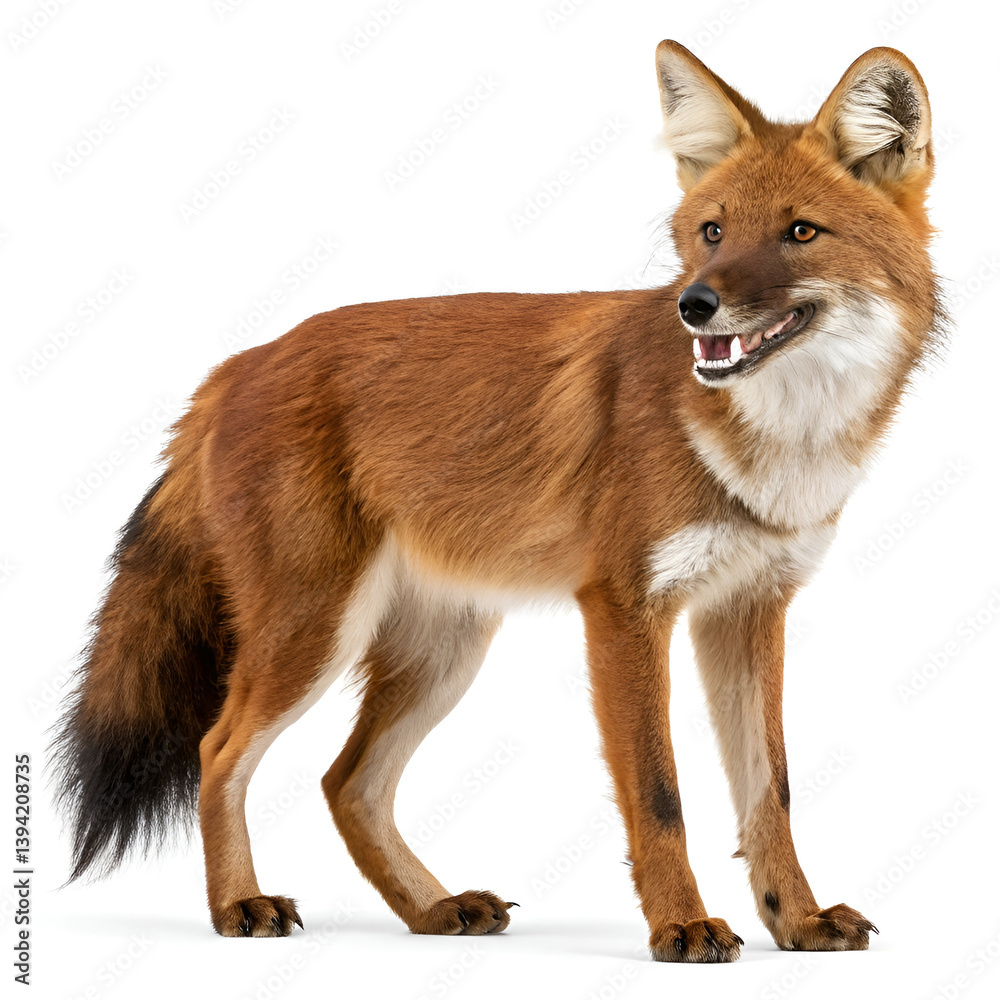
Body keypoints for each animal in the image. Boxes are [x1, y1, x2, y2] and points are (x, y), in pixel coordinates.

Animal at [53, 40, 941, 962]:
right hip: (316, 631)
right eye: (712, 232)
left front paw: (795, 918)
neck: (775, 449)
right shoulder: (624, 609)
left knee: (347, 782)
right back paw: (239, 904)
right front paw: (681, 925)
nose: (695, 304)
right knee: (219, 750)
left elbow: (772, 792)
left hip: (444, 649)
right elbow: (660, 795)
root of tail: (236, 363)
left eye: (800, 232)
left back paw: (432, 908)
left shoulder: (750, 609)